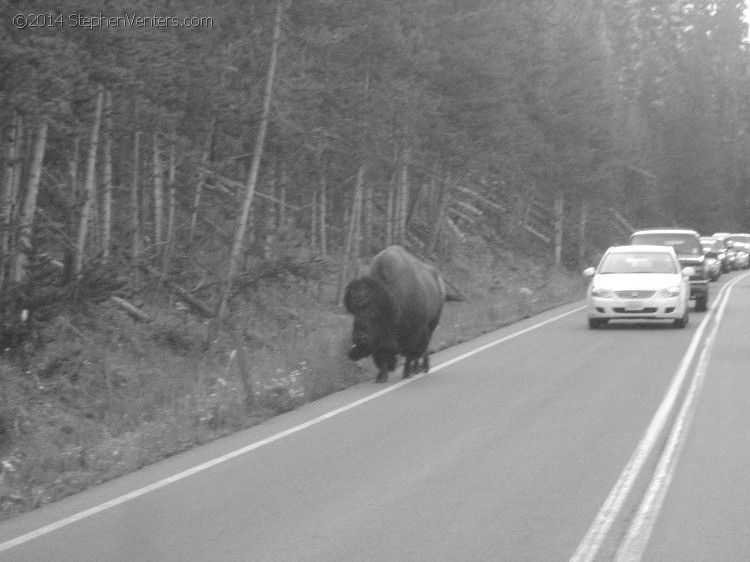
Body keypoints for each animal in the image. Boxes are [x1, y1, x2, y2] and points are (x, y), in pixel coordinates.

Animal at [344, 246, 456, 382]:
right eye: (354, 311)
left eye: (374, 310)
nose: (359, 337)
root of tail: (439, 281)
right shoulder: (381, 340)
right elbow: (381, 355)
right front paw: (381, 377)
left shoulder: (413, 333)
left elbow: (409, 353)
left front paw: (406, 373)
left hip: (432, 324)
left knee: (424, 348)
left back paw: (423, 368)